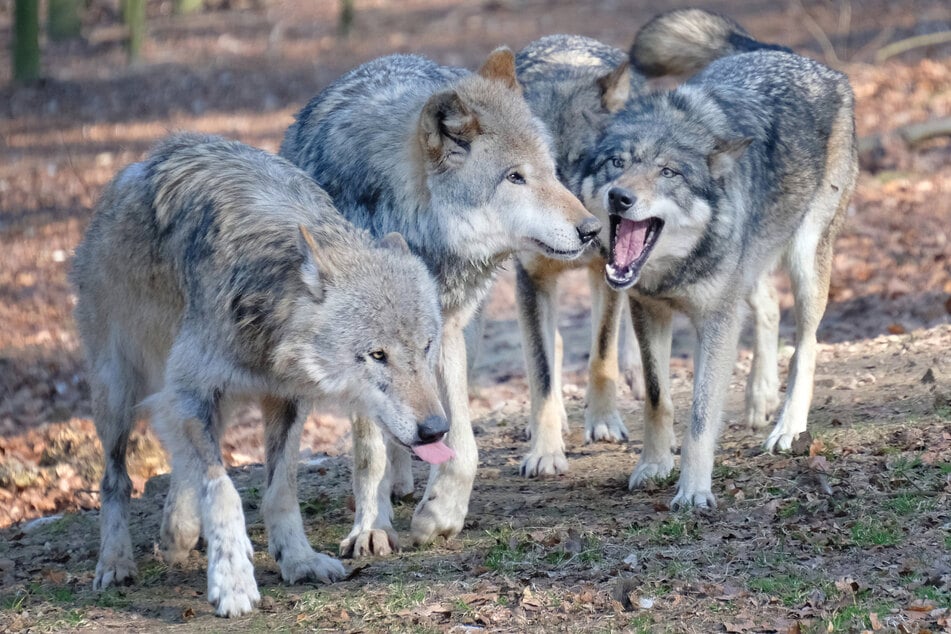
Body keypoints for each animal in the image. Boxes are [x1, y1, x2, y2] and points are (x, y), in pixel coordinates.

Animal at [71, 134, 449, 617]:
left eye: (426, 346)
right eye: (377, 355)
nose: (436, 430)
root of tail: (129, 170)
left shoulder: (283, 399)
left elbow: (281, 488)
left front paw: (298, 559)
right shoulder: (191, 395)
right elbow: (223, 491)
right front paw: (232, 582)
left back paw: (177, 533)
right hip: (118, 394)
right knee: (114, 479)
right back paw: (116, 562)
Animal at [281, 48, 599, 553]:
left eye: (550, 171)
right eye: (515, 177)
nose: (592, 229)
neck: (409, 224)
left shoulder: (445, 333)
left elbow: (464, 444)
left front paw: (440, 514)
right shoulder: (360, 349)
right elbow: (369, 453)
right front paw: (371, 527)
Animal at [512, 34, 652, 478]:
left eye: (595, 162)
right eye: (527, 175)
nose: (588, 231)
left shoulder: (607, 271)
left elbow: (601, 355)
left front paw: (604, 423)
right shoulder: (531, 282)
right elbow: (540, 373)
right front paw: (544, 451)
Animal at [582, 9, 858, 508]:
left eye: (668, 172)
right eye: (616, 163)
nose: (620, 197)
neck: (675, 267)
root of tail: (786, 54)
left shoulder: (716, 320)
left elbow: (700, 414)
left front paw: (693, 491)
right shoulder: (648, 310)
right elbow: (658, 397)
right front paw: (654, 466)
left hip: (806, 260)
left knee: (806, 346)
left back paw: (787, 427)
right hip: (751, 270)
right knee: (768, 308)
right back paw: (758, 399)